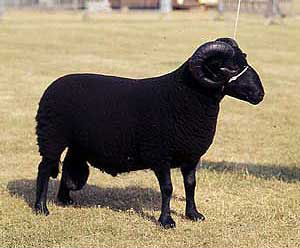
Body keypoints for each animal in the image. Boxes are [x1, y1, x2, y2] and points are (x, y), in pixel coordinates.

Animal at [34, 37, 264, 229]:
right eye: (230, 67)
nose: (260, 94)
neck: (183, 95)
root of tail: (52, 86)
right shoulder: (160, 155)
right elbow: (168, 188)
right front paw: (166, 221)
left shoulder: (191, 156)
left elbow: (191, 184)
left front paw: (193, 214)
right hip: (51, 137)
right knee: (44, 169)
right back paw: (41, 208)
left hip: (76, 142)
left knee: (67, 166)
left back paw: (64, 199)